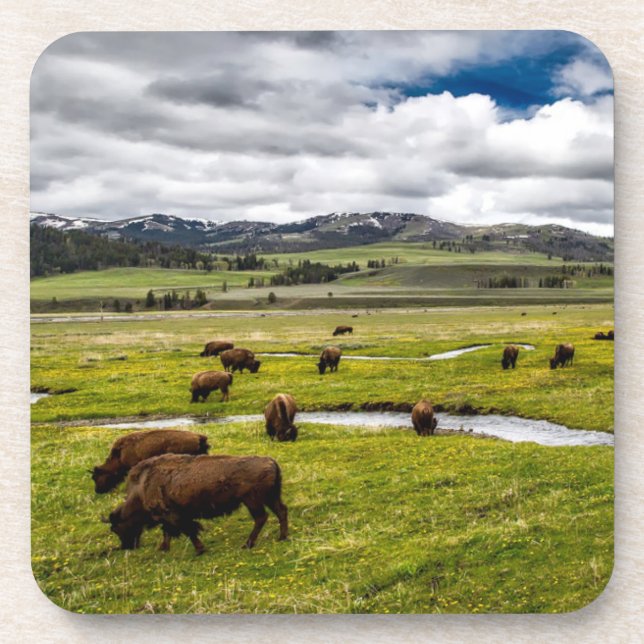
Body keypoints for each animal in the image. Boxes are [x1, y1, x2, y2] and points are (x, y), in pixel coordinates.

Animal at [105, 454, 288, 553]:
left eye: (117, 528)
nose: (127, 546)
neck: (142, 487)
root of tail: (271, 462)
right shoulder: (170, 518)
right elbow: (168, 532)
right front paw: (163, 548)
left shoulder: (173, 515)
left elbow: (189, 530)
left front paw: (200, 549)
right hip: (270, 498)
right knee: (281, 511)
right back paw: (282, 537)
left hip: (253, 500)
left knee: (261, 518)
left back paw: (247, 544)